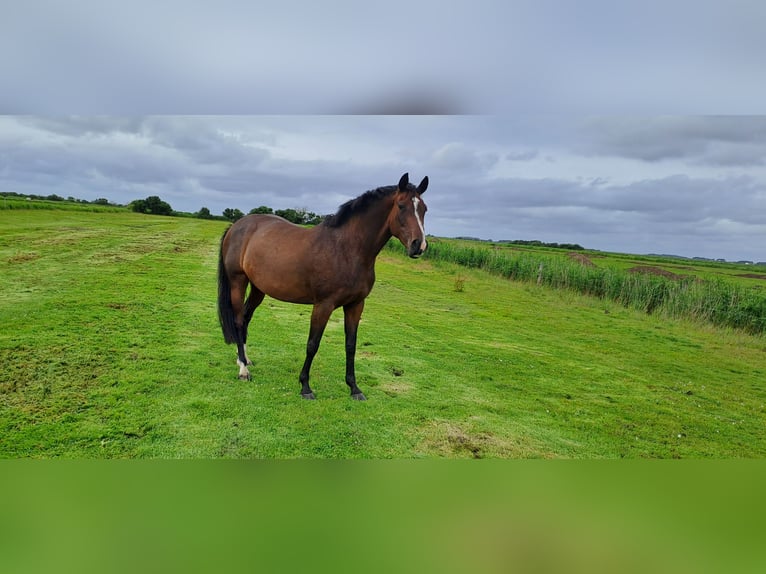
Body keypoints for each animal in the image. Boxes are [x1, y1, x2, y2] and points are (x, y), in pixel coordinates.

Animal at [219, 173, 428, 402]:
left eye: (424, 209)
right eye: (401, 206)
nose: (419, 246)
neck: (347, 249)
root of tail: (237, 226)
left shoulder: (356, 305)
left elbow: (351, 345)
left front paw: (354, 388)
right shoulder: (323, 305)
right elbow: (313, 344)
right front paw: (305, 387)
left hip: (259, 288)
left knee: (246, 318)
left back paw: (244, 360)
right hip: (238, 282)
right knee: (239, 321)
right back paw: (243, 371)